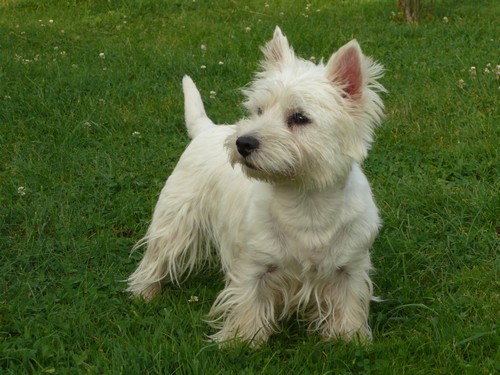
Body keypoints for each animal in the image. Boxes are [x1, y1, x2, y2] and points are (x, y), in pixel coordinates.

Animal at [127, 27, 384, 346]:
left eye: (300, 118)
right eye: (259, 110)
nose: (243, 142)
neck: (306, 202)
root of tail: (208, 129)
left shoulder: (351, 265)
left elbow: (349, 301)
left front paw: (349, 337)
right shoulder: (254, 264)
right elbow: (249, 301)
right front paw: (242, 340)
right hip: (176, 217)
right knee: (159, 252)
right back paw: (145, 292)